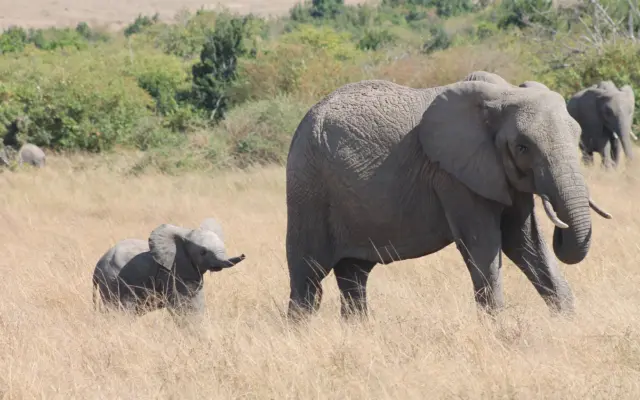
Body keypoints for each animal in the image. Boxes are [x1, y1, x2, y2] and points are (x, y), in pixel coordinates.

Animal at [92, 218, 246, 319]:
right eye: (203, 252)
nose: (243, 255)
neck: (185, 235)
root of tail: (97, 267)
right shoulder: (171, 273)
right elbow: (187, 305)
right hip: (114, 282)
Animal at [285, 79, 612, 321]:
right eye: (522, 147)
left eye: (577, 135)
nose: (561, 228)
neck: (502, 95)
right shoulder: (454, 176)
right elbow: (484, 245)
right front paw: (497, 329)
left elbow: (525, 242)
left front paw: (567, 322)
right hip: (308, 187)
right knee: (308, 275)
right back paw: (299, 331)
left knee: (353, 274)